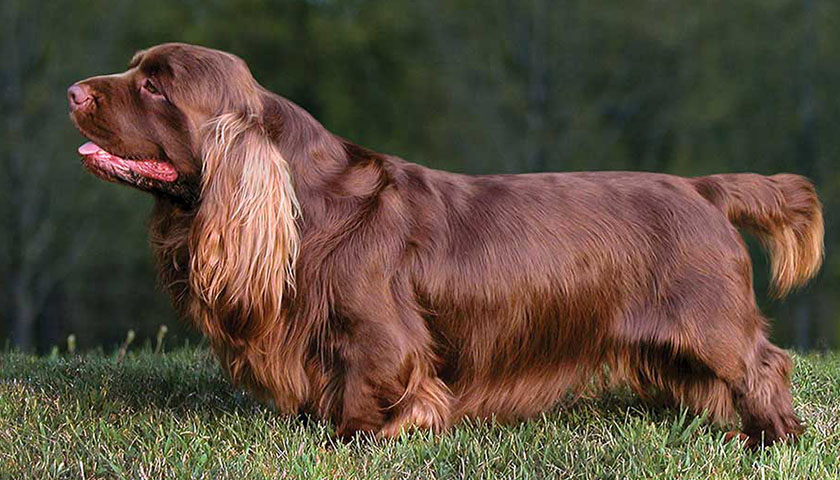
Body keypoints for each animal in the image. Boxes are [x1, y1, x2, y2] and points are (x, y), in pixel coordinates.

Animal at [69, 43, 823, 446]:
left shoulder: (381, 337)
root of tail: (703, 188)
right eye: (137, 71)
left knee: (764, 364)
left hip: (711, 320)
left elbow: (369, 394)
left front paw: (357, 441)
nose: (73, 90)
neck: (308, 201)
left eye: (155, 85)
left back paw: (775, 437)